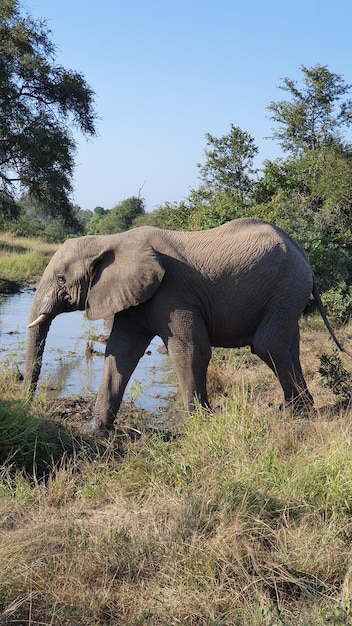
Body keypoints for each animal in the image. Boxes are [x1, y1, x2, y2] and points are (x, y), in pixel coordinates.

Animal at [23, 217, 342, 432]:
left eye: (61, 279)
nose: (28, 405)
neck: (109, 240)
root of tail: (304, 257)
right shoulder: (133, 296)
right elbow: (120, 352)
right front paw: (93, 431)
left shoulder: (172, 292)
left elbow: (190, 349)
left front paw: (200, 425)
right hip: (288, 293)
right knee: (288, 345)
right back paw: (300, 411)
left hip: (286, 286)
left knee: (269, 345)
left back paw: (293, 415)